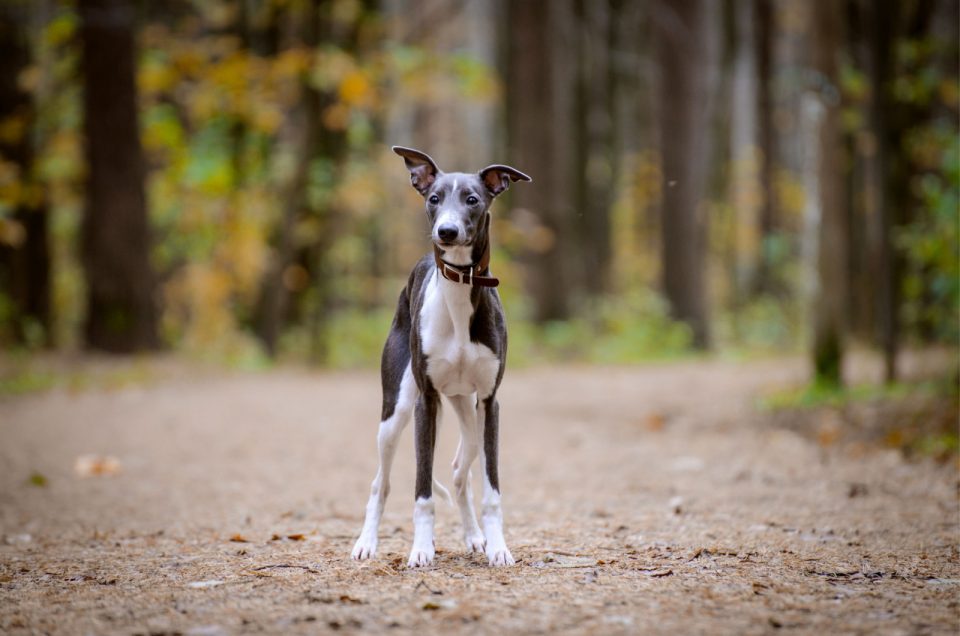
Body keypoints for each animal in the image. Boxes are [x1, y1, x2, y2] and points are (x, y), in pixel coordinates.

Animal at [350, 147, 532, 568]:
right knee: (380, 482)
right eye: (434, 198)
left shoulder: (490, 403)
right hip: (396, 412)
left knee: (460, 473)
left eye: (473, 199)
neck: (461, 292)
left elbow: (491, 490)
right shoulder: (426, 401)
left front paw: (497, 546)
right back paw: (367, 542)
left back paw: (475, 537)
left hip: (468, 415)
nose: (446, 232)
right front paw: (420, 548)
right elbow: (421, 493)